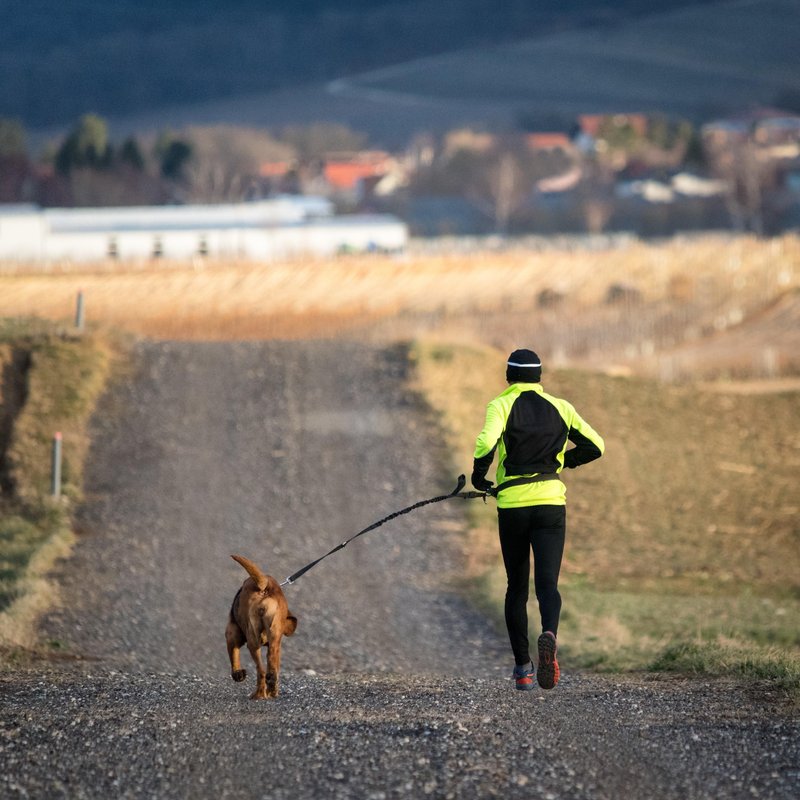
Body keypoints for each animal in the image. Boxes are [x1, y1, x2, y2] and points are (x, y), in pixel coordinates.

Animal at [225, 552, 296, 696]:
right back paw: (272, 690)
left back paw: (257, 695)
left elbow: (234, 657)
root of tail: (264, 587)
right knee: (271, 666)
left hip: (252, 640)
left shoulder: (231, 635)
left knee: (261, 671)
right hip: (274, 638)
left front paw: (238, 674)